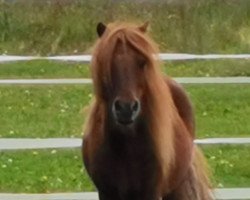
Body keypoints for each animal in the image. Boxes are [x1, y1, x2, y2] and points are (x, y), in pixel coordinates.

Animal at [82, 21, 213, 200]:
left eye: (142, 62)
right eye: (106, 61)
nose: (126, 108)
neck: (127, 146)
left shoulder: (151, 192)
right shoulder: (106, 193)